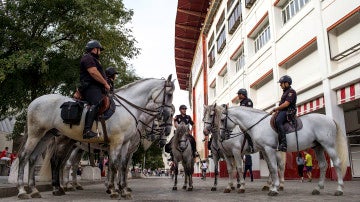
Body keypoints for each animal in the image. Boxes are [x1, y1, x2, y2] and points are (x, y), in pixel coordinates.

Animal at [16, 75, 174, 199]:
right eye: (170, 94)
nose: (167, 133)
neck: (129, 110)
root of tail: (33, 102)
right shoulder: (116, 143)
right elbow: (114, 166)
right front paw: (113, 190)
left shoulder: (125, 145)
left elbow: (123, 166)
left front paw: (123, 190)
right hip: (39, 135)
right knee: (31, 157)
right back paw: (25, 190)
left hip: (47, 136)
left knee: (37, 159)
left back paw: (38, 189)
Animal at [218, 105, 348, 196]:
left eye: (222, 119)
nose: (221, 137)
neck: (258, 124)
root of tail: (330, 119)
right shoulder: (264, 150)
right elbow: (271, 168)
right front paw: (273, 186)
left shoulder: (268, 149)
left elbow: (273, 168)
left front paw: (274, 189)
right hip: (318, 147)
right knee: (323, 165)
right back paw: (318, 188)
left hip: (328, 145)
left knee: (337, 163)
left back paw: (339, 189)